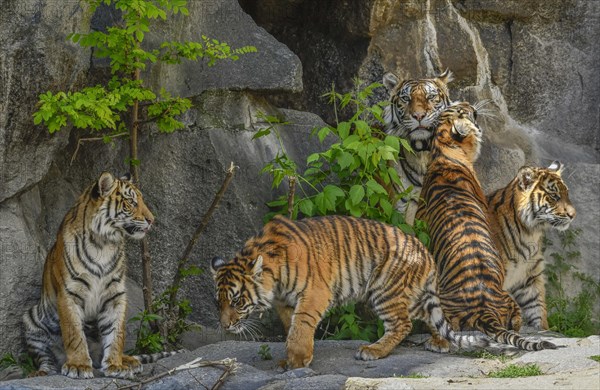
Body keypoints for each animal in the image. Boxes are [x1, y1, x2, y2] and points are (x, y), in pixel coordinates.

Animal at [22, 171, 156, 378]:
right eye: (131, 202)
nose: (152, 220)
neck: (104, 243)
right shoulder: (69, 294)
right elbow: (74, 333)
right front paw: (78, 365)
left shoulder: (115, 295)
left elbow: (116, 334)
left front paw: (115, 365)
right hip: (31, 320)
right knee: (47, 361)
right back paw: (42, 373)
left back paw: (130, 361)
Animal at [210, 213, 488, 368]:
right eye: (218, 303)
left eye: (237, 301)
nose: (224, 326)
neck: (273, 280)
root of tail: (427, 252)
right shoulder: (285, 302)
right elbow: (291, 326)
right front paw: (290, 358)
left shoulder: (314, 293)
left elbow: (301, 324)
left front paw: (297, 360)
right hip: (410, 294)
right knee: (432, 316)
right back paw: (440, 342)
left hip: (385, 290)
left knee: (403, 324)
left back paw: (373, 351)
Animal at [488, 161, 576, 330]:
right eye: (554, 196)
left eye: (567, 194)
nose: (573, 215)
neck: (529, 232)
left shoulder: (530, 277)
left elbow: (537, 309)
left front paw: (542, 329)